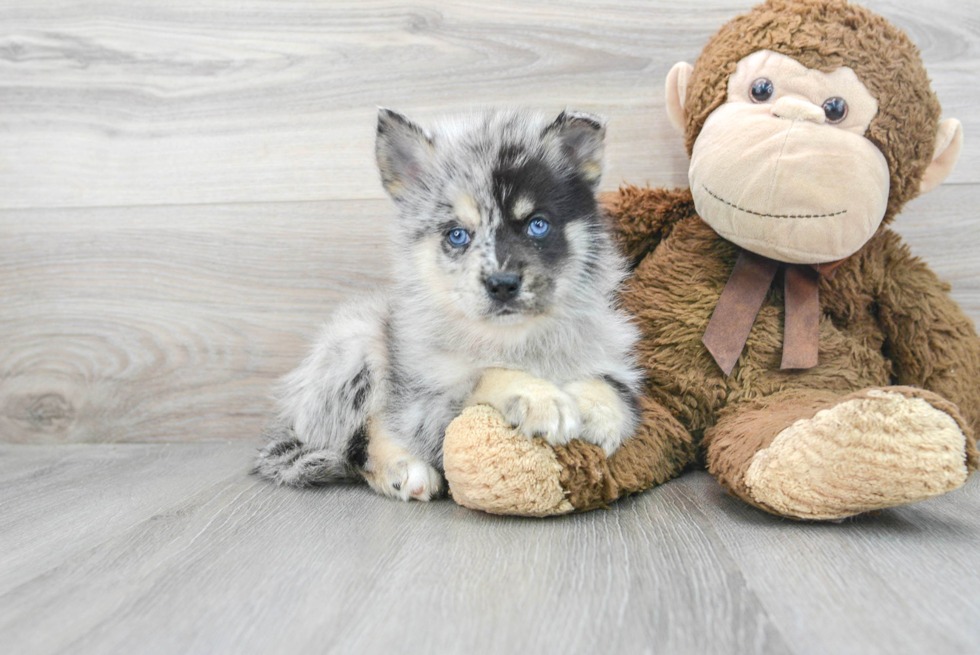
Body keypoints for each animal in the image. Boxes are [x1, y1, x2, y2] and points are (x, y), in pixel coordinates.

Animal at [255, 109, 644, 502]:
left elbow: (612, 384)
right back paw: (402, 470)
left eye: (537, 225)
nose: (502, 285)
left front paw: (601, 411)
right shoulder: (422, 406)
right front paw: (540, 398)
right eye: (457, 235)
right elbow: (485, 374)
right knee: (359, 438)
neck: (513, 338)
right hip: (354, 346)